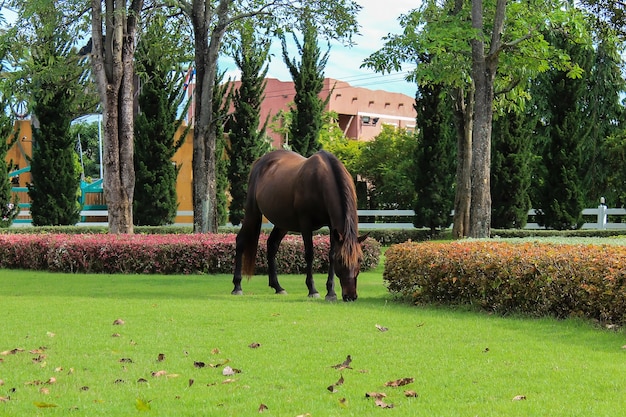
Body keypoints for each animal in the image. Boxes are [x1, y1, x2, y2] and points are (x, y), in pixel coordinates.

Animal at [232, 149, 364, 300]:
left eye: (360, 260)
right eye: (341, 260)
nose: (350, 296)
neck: (320, 180)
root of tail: (260, 161)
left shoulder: (333, 227)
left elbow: (331, 254)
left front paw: (330, 292)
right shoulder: (305, 223)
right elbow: (309, 254)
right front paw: (312, 289)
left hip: (282, 223)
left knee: (272, 245)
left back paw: (277, 287)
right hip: (252, 213)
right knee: (241, 241)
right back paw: (237, 286)